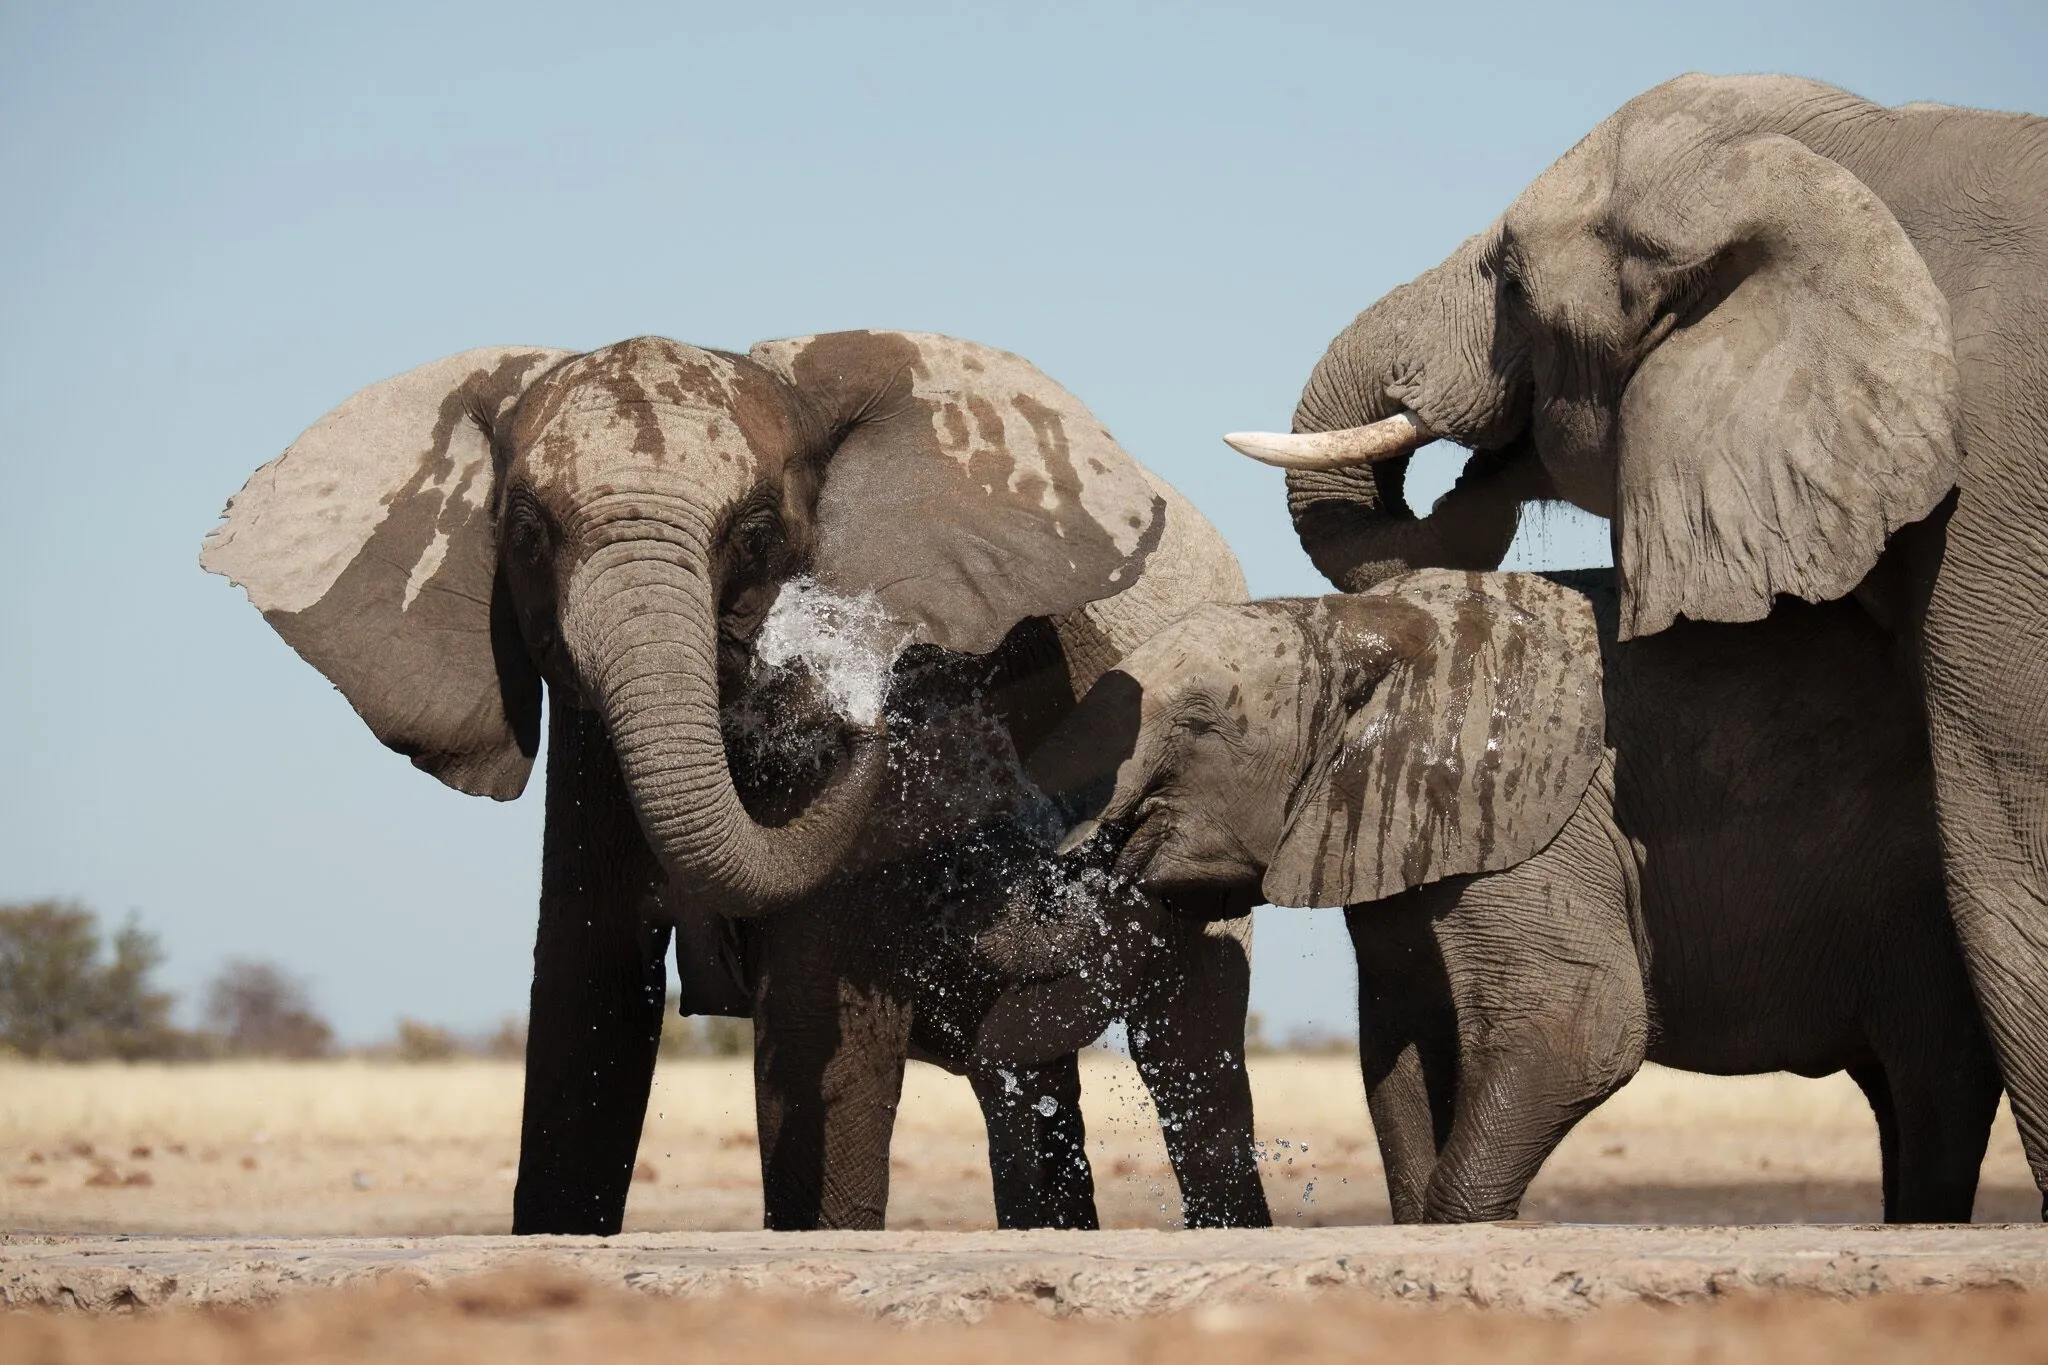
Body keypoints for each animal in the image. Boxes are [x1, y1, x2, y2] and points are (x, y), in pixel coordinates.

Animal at [201, 330, 1268, 1233]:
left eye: (757, 535)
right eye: (526, 532)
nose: (853, 690)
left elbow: (814, 1014)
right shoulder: (589, 737)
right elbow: (587, 992)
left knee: (1193, 1049)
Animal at [1027, 567, 2001, 1222]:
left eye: (1200, 723)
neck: (1361, 623)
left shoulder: (1534, 828)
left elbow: (1580, 1031)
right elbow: (1402, 1064)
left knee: (1937, 1085)